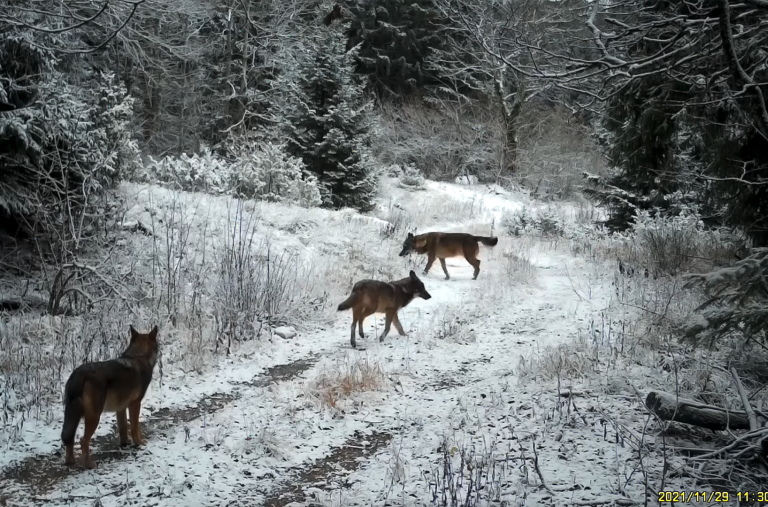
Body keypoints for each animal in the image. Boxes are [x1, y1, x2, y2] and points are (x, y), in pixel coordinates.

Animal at [61, 326, 160, 468]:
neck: (138, 355)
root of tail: (78, 374)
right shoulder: (135, 404)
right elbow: (135, 427)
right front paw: (140, 443)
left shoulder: (121, 408)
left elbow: (123, 427)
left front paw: (125, 444)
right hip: (94, 417)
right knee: (83, 440)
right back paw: (89, 464)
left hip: (74, 416)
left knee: (70, 439)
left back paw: (70, 461)